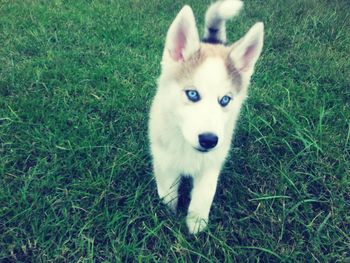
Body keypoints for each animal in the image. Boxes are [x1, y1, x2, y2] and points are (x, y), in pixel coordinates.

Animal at [148, 0, 266, 235]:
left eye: (225, 100)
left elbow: (204, 194)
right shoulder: (164, 160)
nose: (209, 140)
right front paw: (167, 217)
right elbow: (167, 193)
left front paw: (196, 225)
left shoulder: (212, 163)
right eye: (192, 94)